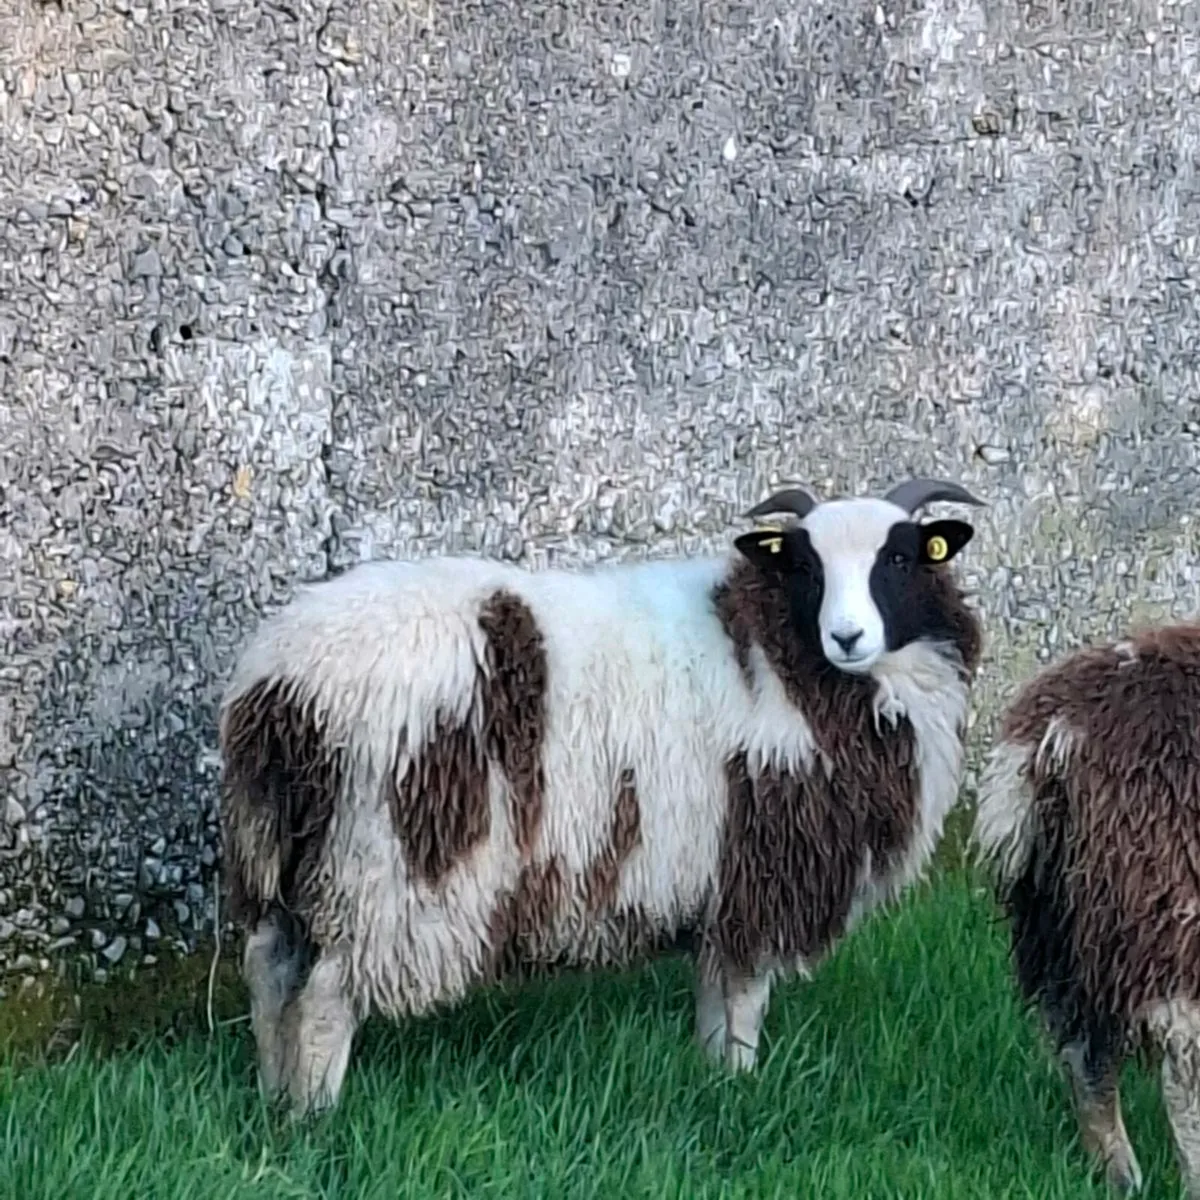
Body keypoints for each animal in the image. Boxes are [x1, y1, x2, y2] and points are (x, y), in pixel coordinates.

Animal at [219, 476, 985, 1117]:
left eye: (899, 560)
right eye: (806, 566)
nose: (847, 636)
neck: (791, 656)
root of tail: (287, 686)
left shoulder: (722, 882)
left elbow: (715, 999)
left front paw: (714, 1083)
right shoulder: (760, 871)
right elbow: (743, 1002)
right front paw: (742, 1084)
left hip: (287, 850)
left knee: (269, 970)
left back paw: (273, 1098)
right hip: (387, 867)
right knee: (325, 995)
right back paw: (316, 1115)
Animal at [974, 623, 1200, 1197]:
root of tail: (1055, 731)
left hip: (1061, 913)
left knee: (1082, 1048)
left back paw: (1119, 1175)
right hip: (1161, 904)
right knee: (1182, 1065)